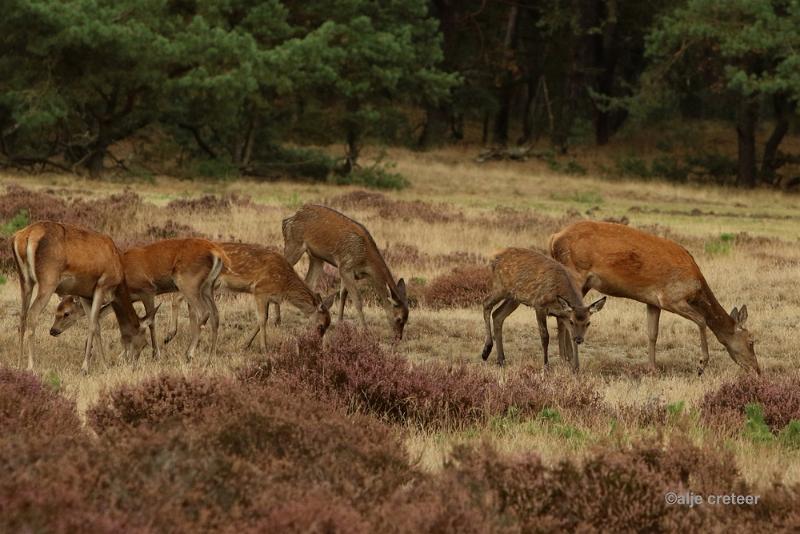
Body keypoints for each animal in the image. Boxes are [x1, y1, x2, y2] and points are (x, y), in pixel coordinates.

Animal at [12, 221, 155, 372]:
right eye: (144, 343)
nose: (134, 365)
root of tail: (24, 236)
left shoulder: (85, 295)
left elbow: (96, 326)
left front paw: (103, 364)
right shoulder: (102, 285)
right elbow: (92, 325)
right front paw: (86, 366)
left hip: (25, 280)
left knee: (22, 316)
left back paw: (19, 365)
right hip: (48, 280)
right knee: (32, 314)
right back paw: (31, 366)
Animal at [52, 238, 228, 360]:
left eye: (66, 313)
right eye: (56, 311)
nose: (53, 330)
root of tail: (217, 254)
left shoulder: (147, 289)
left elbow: (151, 322)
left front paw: (155, 354)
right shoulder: (129, 297)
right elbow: (105, 316)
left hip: (188, 281)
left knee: (203, 312)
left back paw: (189, 353)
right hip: (208, 286)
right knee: (215, 314)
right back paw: (211, 356)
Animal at [282, 205, 406, 340]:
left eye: (407, 318)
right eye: (399, 319)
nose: (399, 337)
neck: (365, 262)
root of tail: (287, 220)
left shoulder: (346, 270)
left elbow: (343, 295)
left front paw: (340, 324)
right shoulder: (346, 266)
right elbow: (357, 300)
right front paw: (365, 331)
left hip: (316, 257)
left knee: (308, 281)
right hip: (294, 243)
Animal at [552, 222, 764, 376]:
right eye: (751, 341)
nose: (757, 370)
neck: (696, 287)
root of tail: (553, 238)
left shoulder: (652, 301)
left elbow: (652, 333)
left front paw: (652, 369)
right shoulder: (671, 298)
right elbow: (702, 320)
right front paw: (701, 365)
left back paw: (565, 359)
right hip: (576, 273)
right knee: (565, 314)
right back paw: (569, 362)